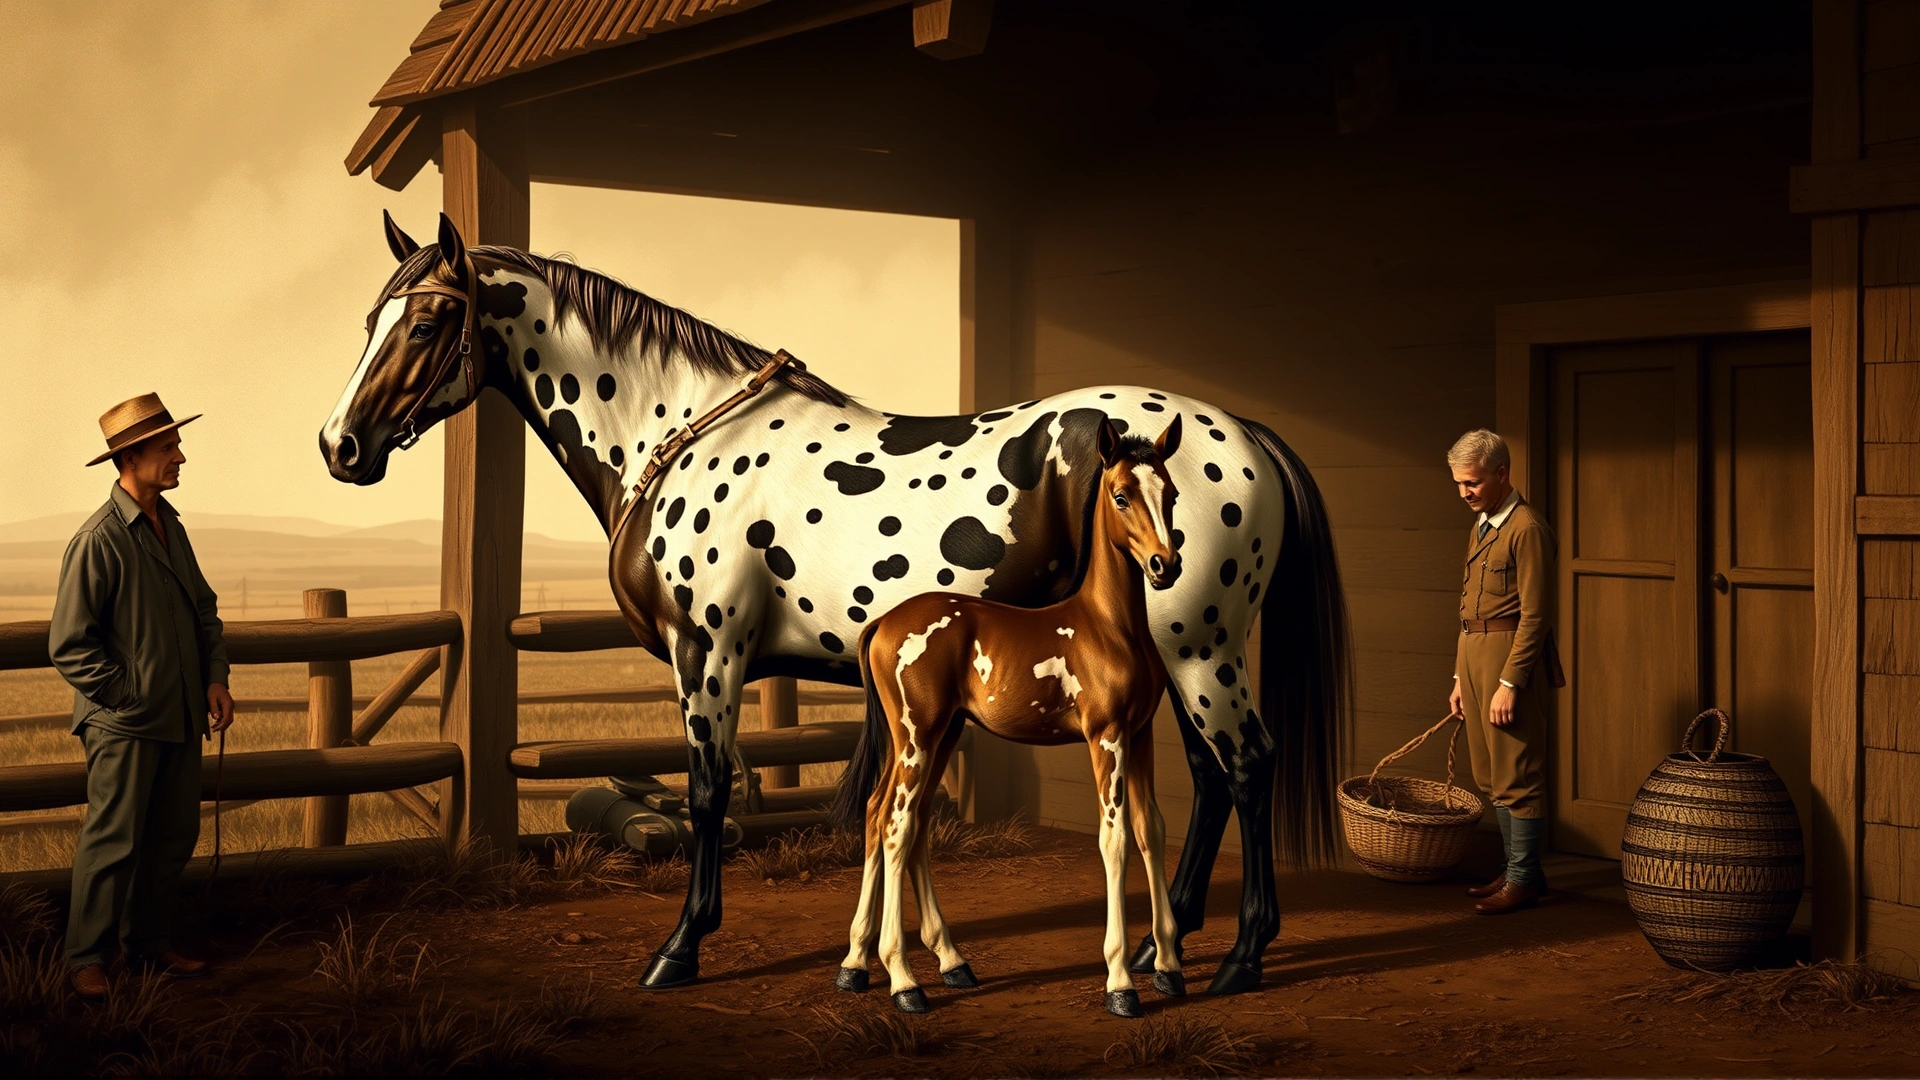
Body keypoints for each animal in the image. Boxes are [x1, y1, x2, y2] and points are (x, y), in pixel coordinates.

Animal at [831, 415, 1187, 1018]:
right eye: (1121, 495)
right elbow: (1114, 841)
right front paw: (1120, 982)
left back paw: (895, 964)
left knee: (891, 817)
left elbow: (1152, 831)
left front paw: (1168, 968)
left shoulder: (1137, 738)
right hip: (917, 737)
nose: (1166, 566)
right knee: (896, 826)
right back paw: (902, 980)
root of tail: (881, 623)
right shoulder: (1106, 738)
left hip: (940, 735)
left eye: (1172, 494)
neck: (1110, 627)